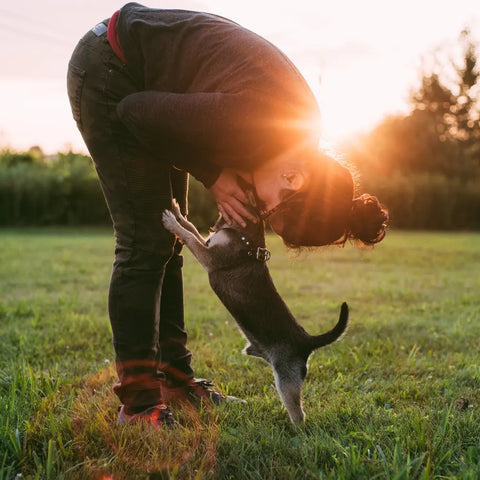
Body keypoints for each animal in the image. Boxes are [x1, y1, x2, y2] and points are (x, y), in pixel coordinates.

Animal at [162, 201, 348, 426]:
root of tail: (306, 341)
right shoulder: (207, 244)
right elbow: (190, 227)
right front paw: (177, 212)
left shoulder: (209, 257)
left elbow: (189, 236)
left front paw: (171, 222)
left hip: (287, 380)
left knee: (299, 414)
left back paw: (296, 430)